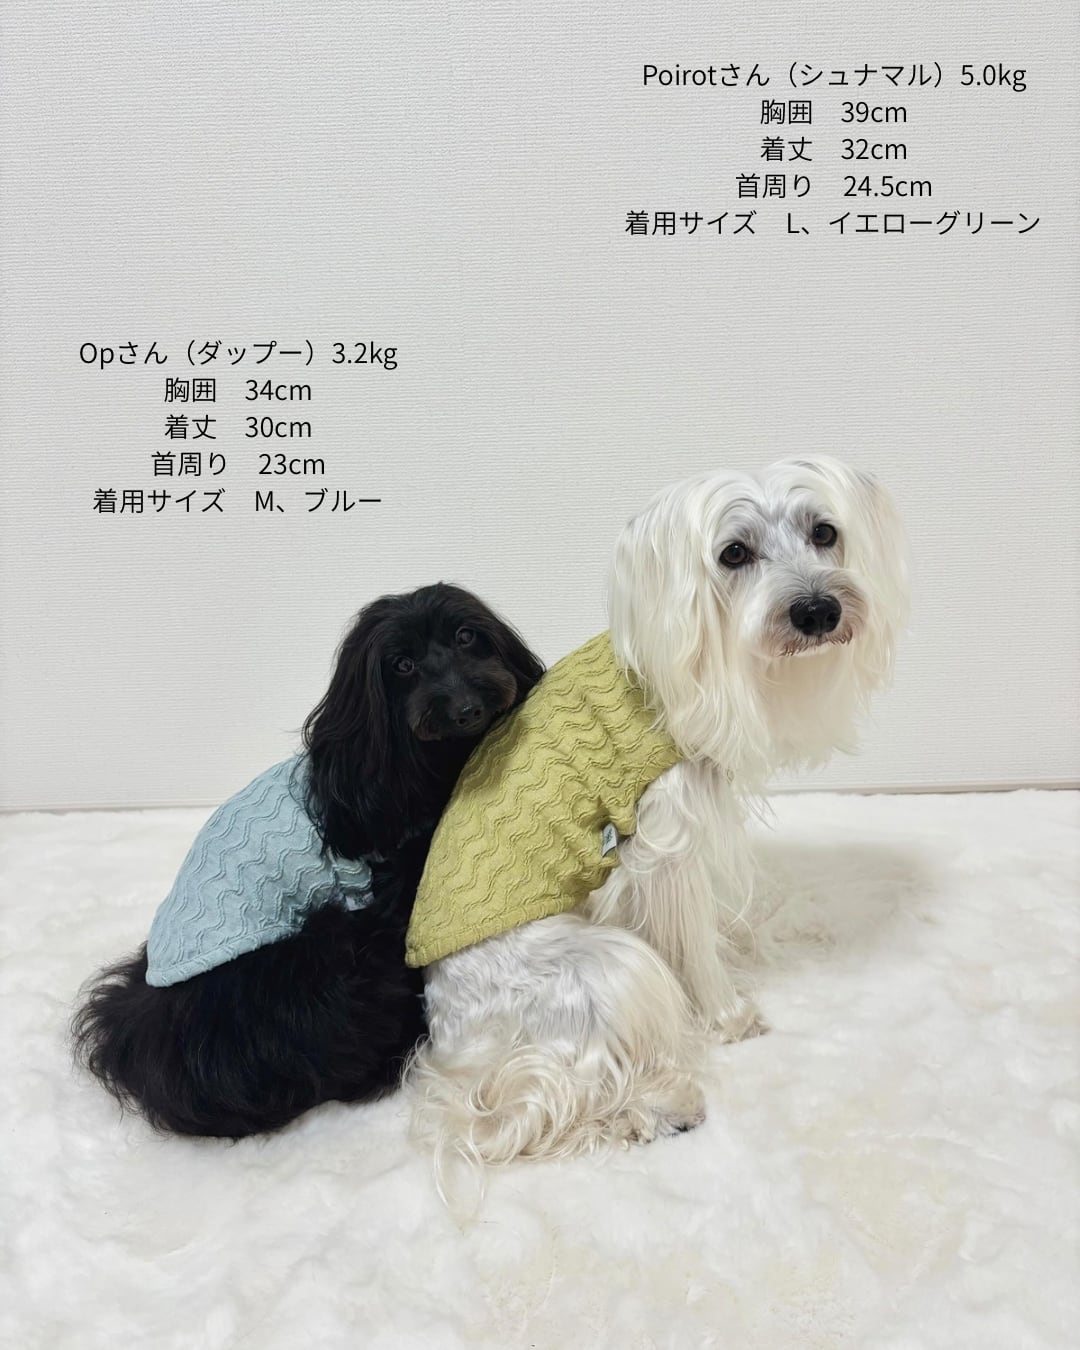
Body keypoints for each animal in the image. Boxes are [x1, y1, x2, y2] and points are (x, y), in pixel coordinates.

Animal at [407, 459, 909, 1183]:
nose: (819, 610)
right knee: (580, 1087)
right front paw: (730, 1016)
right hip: (606, 968)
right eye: (733, 553)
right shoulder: (665, 844)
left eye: (825, 532)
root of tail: (456, 1045)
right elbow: (693, 947)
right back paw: (663, 1106)